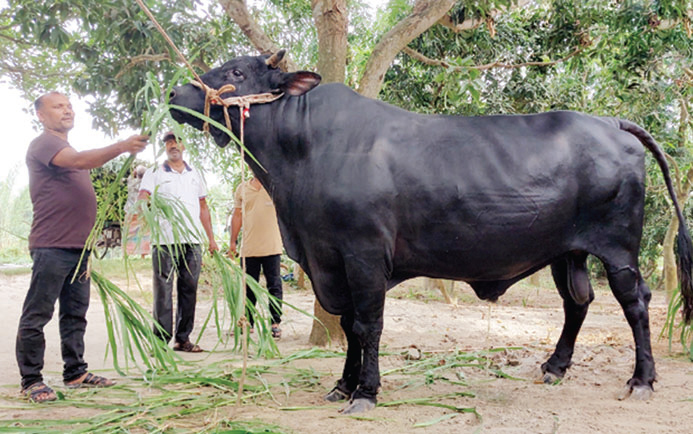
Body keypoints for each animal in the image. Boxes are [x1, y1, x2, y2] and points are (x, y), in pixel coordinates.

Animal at [168, 50, 692, 414]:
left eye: (237, 72)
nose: (176, 94)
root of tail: (611, 122)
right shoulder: (329, 259)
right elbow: (350, 325)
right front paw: (342, 385)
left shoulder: (362, 255)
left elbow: (367, 323)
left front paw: (366, 391)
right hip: (568, 251)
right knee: (577, 301)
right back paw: (554, 367)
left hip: (618, 247)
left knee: (634, 303)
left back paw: (641, 381)